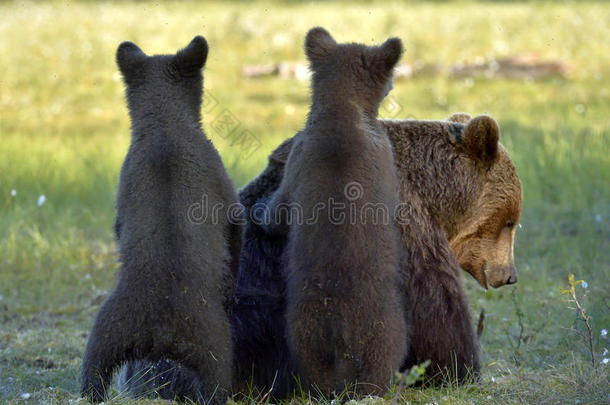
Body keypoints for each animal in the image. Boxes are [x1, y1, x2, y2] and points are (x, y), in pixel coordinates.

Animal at [82, 35, 239, 404]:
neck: (165, 126)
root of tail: (160, 334)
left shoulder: (123, 183)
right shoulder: (221, 180)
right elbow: (235, 226)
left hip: (110, 328)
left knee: (94, 366)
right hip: (212, 340)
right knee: (216, 378)